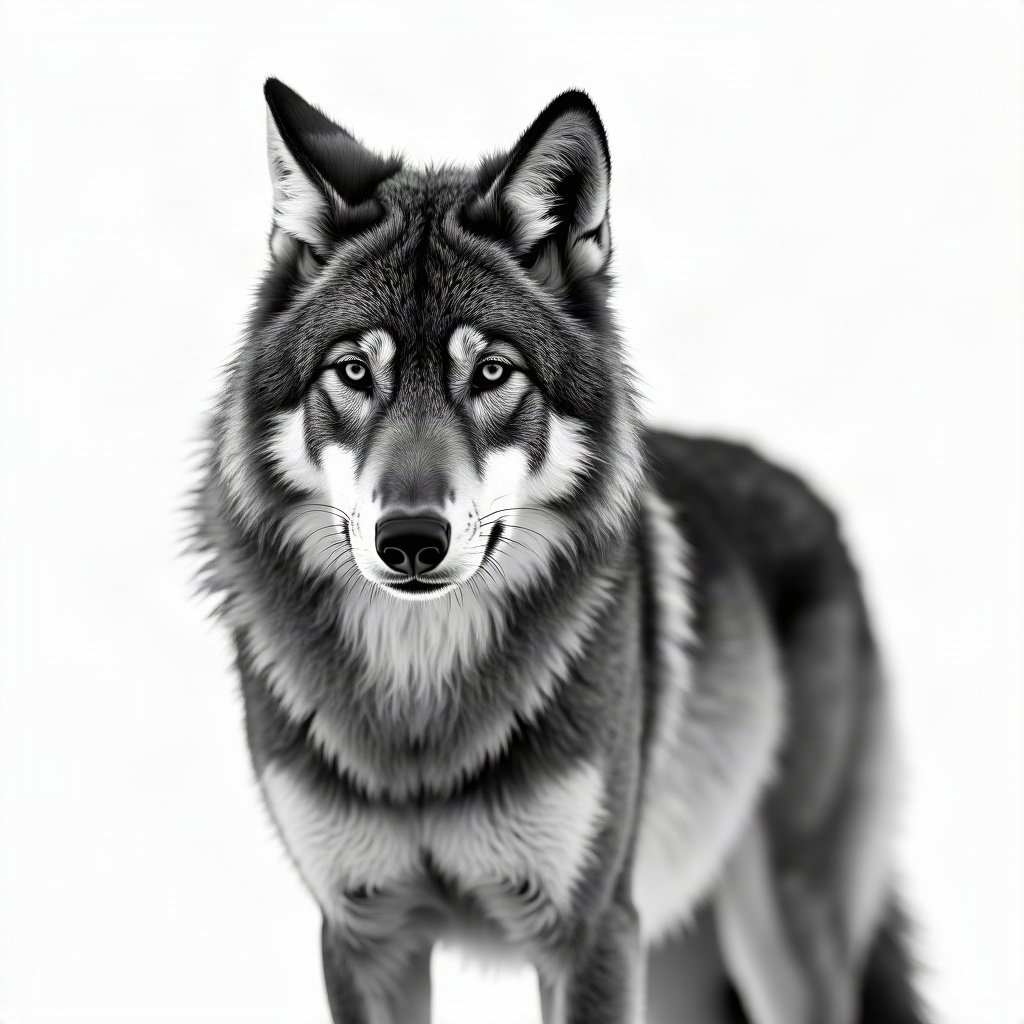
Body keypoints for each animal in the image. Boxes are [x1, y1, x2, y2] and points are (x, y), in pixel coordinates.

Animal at [191, 78, 927, 1024]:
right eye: (354, 372)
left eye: (493, 373)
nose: (411, 539)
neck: (421, 706)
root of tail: (817, 502)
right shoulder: (363, 938)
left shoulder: (590, 933)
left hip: (775, 942)